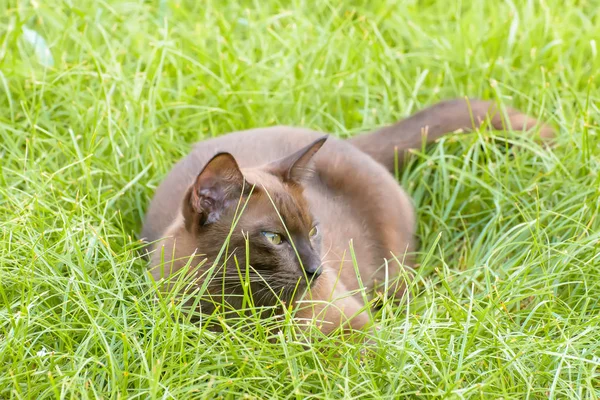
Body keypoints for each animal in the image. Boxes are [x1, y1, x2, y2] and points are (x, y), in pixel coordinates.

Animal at [141, 99, 552, 334]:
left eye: (313, 230)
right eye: (274, 238)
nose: (316, 269)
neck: (241, 314)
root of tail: (350, 141)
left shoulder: (356, 326)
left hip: (394, 275)